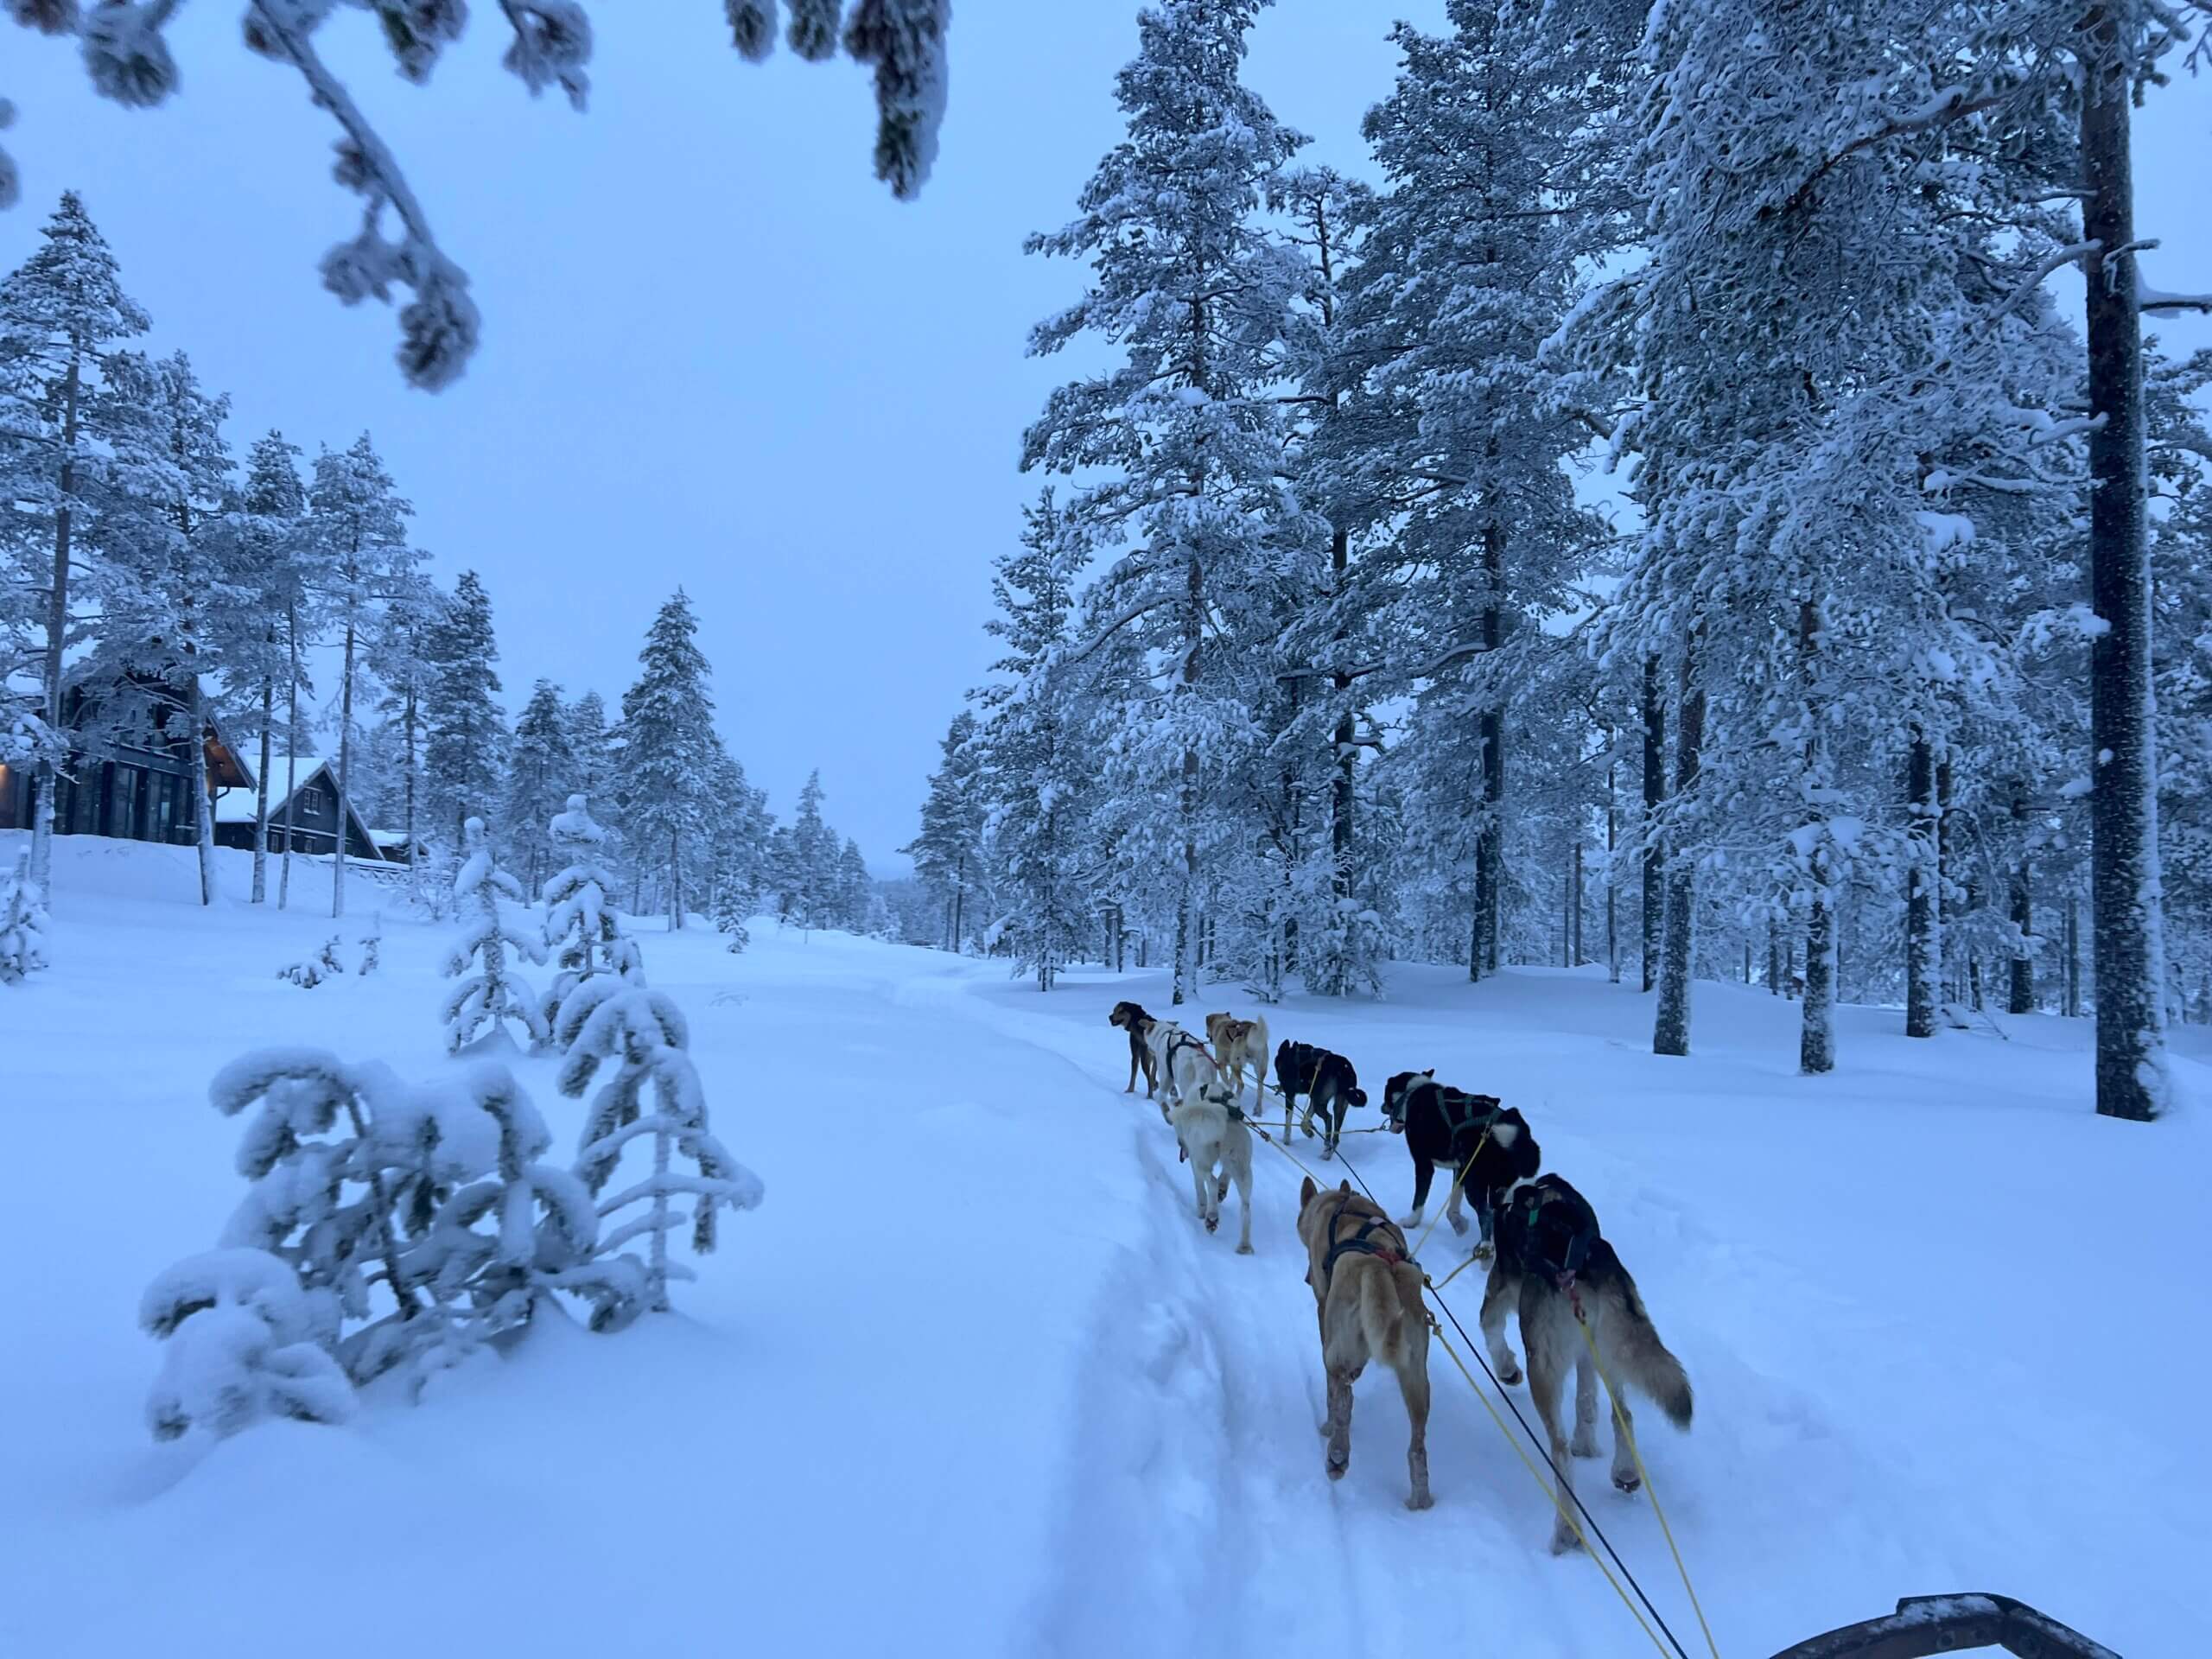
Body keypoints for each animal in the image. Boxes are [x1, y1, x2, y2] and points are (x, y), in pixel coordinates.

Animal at [1167, 1084, 1256, 1256]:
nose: (1180, 1143)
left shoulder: (1195, 1162)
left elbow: (1200, 1190)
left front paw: (1202, 1211)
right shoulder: (1228, 1165)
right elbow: (1224, 1177)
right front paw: (1223, 1190)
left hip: (1202, 1162)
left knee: (1212, 1183)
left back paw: (1211, 1217)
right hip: (1242, 1170)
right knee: (1246, 1208)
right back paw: (1244, 1245)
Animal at [1265, 1044, 1362, 1159]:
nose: (1279, 1083)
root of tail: (1344, 1068)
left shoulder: (1290, 1094)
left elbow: (1288, 1121)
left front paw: (1286, 1141)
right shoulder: (1312, 1098)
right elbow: (1304, 1120)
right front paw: (1308, 1131)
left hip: (1319, 1103)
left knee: (1329, 1118)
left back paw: (1326, 1147)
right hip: (1338, 1105)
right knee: (1336, 1137)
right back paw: (1327, 1154)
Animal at [1292, 1176, 1433, 1513]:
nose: (1306, 1278)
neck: (1338, 1203)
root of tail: (1382, 1266)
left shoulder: (1323, 1311)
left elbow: (1335, 1393)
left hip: (1337, 1351)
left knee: (1341, 1397)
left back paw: (1337, 1453)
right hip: (1416, 1379)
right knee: (1417, 1446)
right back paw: (1420, 1499)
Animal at [1380, 1071, 1539, 1256]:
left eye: (1385, 1096)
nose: (1381, 1107)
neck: (1414, 1092)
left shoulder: (1423, 1165)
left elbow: (1418, 1200)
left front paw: (1411, 1222)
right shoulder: (1460, 1169)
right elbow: (1453, 1204)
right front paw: (1459, 1224)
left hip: (1475, 1183)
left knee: (1486, 1214)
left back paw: (1485, 1247)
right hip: (1497, 1185)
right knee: (1495, 1213)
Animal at [1486, 1176, 1689, 1557]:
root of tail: (1580, 1263)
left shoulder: (1499, 1287)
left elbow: (1490, 1329)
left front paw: (1506, 1369)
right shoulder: (1586, 1353)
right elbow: (1586, 1400)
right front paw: (1587, 1442)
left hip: (1544, 1367)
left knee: (1560, 1451)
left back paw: (1567, 1530)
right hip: (1611, 1348)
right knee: (1623, 1414)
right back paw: (1625, 1471)